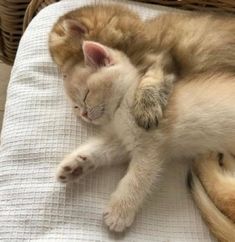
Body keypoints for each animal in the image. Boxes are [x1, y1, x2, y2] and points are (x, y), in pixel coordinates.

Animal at [56, 40, 235, 235]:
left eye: (86, 94)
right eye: (76, 106)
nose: (84, 114)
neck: (123, 103)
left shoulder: (150, 145)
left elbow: (137, 179)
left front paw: (119, 212)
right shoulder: (123, 141)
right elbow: (102, 151)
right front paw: (75, 165)